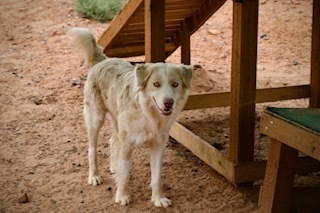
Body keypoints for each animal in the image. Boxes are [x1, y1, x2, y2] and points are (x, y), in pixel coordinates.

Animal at [68, 27, 191, 207]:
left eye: (175, 84)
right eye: (156, 84)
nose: (169, 103)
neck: (148, 114)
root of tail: (102, 60)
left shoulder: (158, 145)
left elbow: (156, 177)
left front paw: (158, 198)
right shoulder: (127, 143)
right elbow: (125, 174)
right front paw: (122, 195)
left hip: (116, 120)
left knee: (113, 141)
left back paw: (114, 167)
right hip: (95, 119)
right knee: (92, 149)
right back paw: (94, 176)